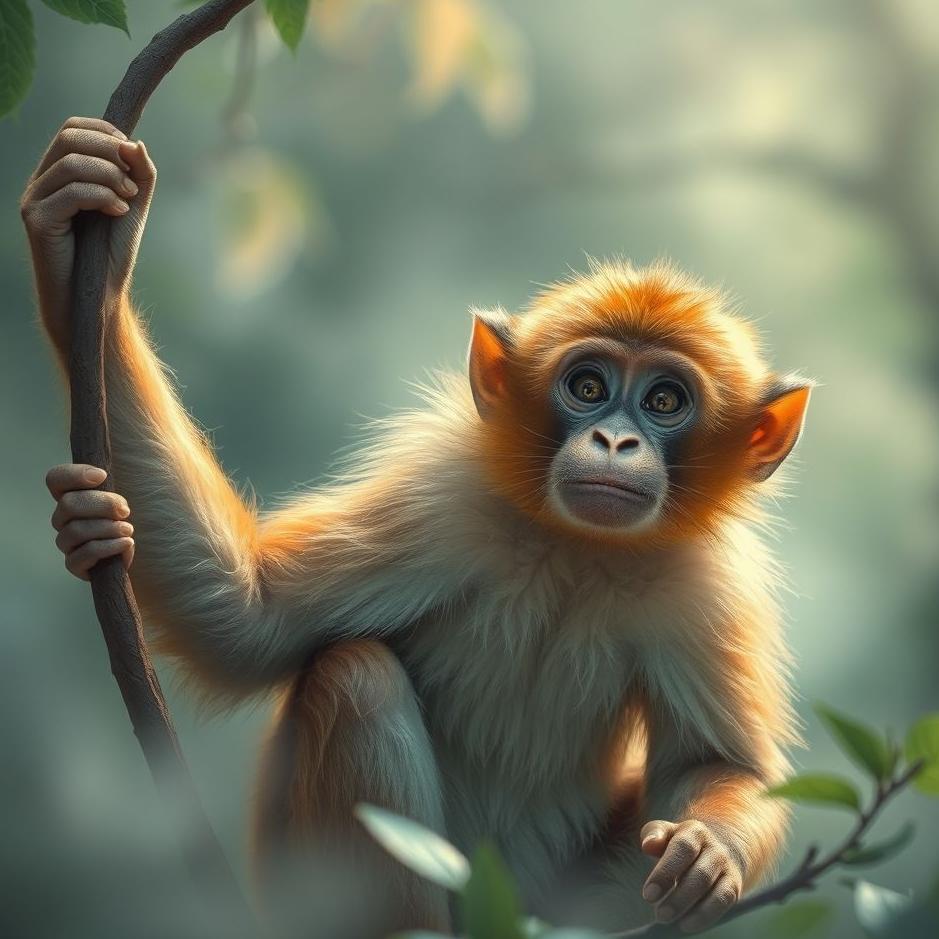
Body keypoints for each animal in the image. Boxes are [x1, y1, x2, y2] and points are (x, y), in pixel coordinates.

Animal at [24, 117, 811, 937]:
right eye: (589, 386)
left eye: (663, 401)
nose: (615, 442)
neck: (571, 548)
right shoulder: (445, 500)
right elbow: (246, 620)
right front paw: (80, 246)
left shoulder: (704, 583)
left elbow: (720, 766)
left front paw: (707, 849)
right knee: (356, 676)